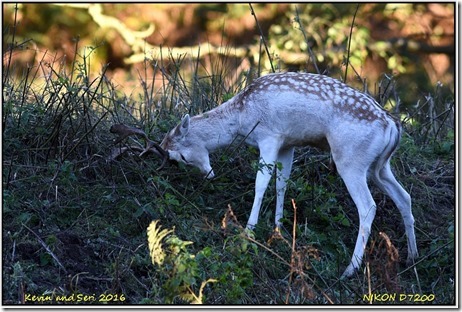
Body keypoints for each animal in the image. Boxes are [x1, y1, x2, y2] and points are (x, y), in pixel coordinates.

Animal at [111, 72, 418, 276]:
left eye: (182, 157)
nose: (209, 175)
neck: (242, 116)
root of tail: (393, 126)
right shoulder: (289, 143)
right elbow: (282, 183)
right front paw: (279, 229)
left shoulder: (271, 136)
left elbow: (261, 183)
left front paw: (248, 231)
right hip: (379, 166)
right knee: (404, 197)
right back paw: (412, 257)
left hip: (351, 160)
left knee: (368, 206)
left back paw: (349, 270)